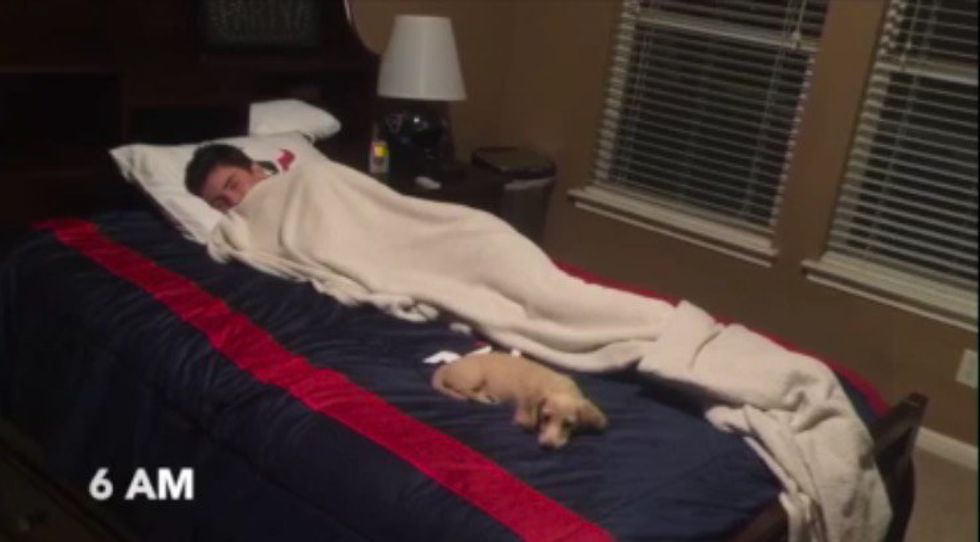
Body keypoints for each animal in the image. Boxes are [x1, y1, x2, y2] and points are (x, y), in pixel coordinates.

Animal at [431, 352, 607, 449]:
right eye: (545, 417)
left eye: (568, 425)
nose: (548, 447)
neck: (559, 387)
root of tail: (447, 366)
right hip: (474, 377)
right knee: (464, 391)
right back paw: (484, 398)